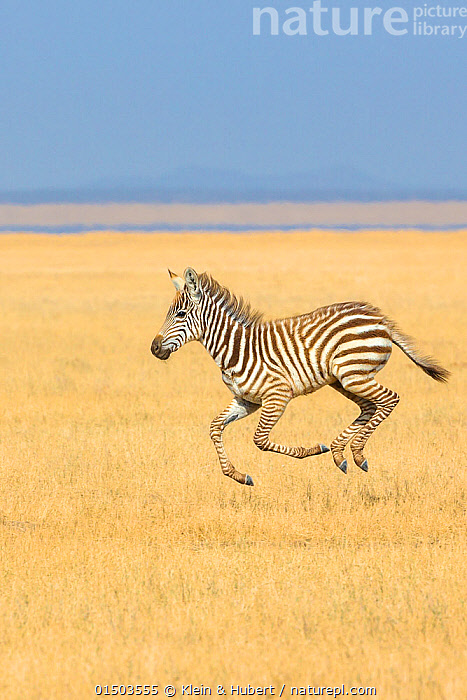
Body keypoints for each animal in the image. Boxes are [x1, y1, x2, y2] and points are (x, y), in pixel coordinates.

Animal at [151, 268, 449, 486]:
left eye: (181, 314)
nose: (154, 349)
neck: (236, 349)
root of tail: (380, 318)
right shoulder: (246, 400)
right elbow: (215, 428)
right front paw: (236, 475)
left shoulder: (277, 396)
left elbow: (260, 440)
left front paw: (313, 450)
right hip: (343, 379)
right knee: (369, 406)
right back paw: (340, 453)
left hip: (353, 374)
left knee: (389, 399)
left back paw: (357, 453)